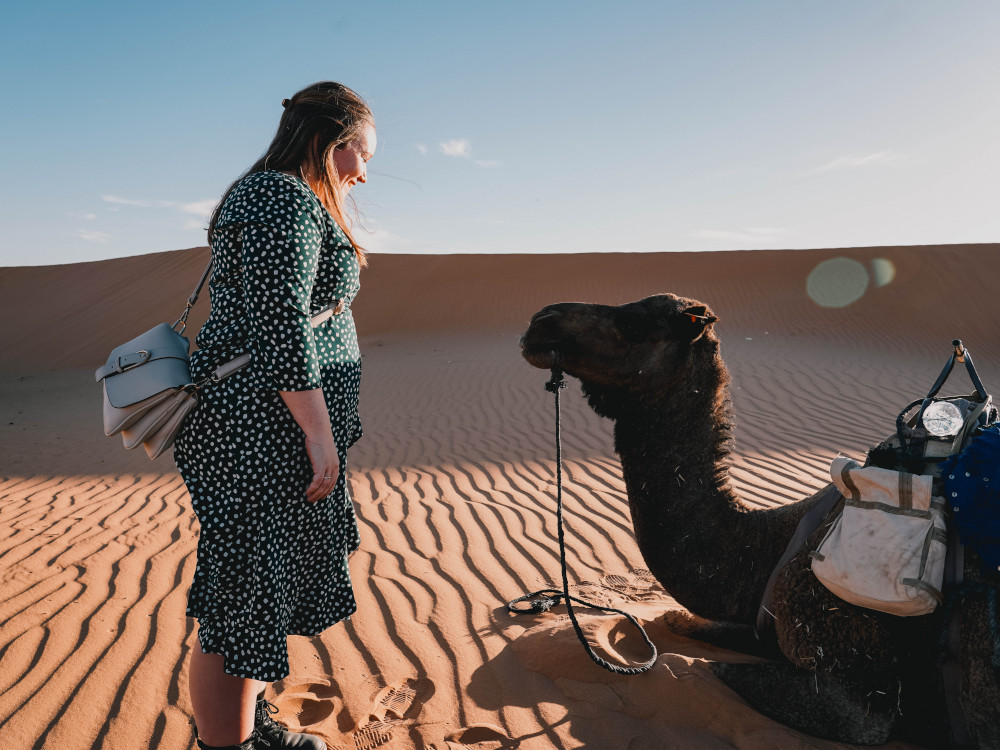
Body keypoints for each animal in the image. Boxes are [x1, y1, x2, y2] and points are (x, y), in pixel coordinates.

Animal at [520, 296, 996, 750]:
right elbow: (687, 623)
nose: (540, 321)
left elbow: (705, 669)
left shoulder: (852, 689)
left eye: (634, 324)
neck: (771, 545)